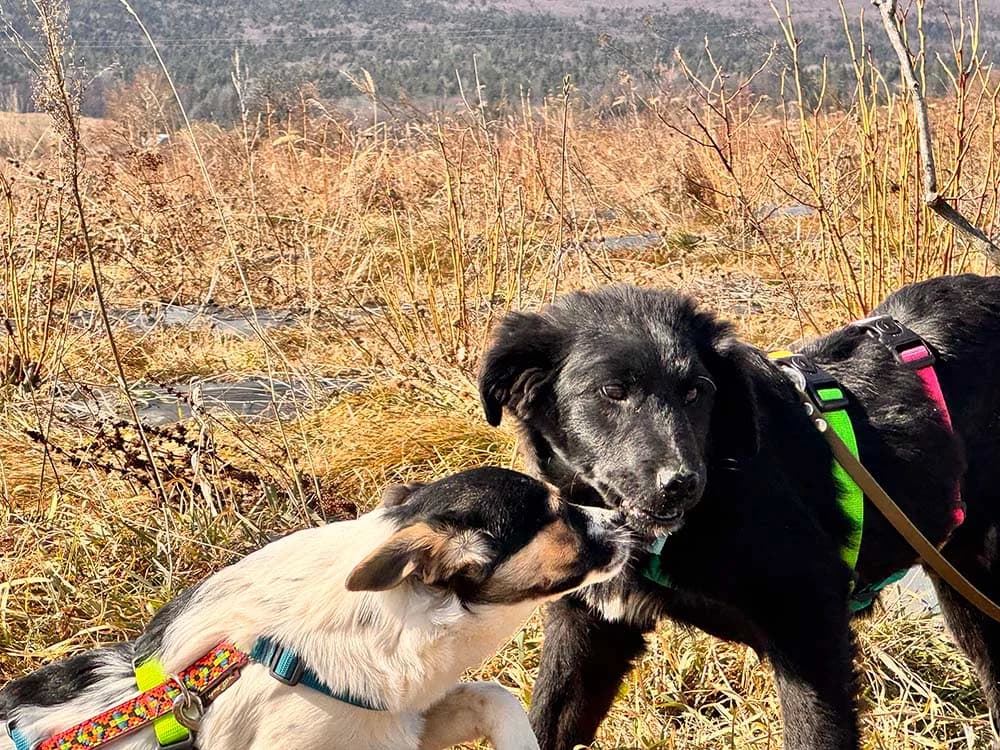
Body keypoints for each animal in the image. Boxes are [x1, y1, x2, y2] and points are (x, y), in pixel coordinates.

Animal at [478, 273, 1000, 749]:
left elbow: (816, 734)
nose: (682, 484)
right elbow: (545, 723)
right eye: (611, 392)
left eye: (696, 391)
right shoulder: (590, 628)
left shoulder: (809, 623)